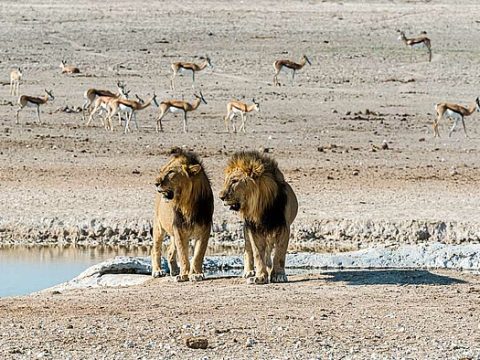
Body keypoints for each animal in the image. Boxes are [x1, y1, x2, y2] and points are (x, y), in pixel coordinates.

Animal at [151, 146, 213, 282]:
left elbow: (198, 255)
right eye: (162, 170)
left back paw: (174, 270)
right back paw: (157, 271)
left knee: (170, 251)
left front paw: (195, 274)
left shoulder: (205, 230)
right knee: (155, 250)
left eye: (171, 172)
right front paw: (184, 274)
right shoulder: (179, 229)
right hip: (159, 227)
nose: (156, 183)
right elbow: (183, 254)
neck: (187, 203)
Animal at [219, 150, 298, 284]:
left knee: (269, 248)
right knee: (248, 250)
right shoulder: (253, 228)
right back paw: (249, 272)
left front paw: (278, 275)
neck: (259, 205)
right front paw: (260, 277)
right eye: (225, 181)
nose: (221, 197)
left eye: (234, 181)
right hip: (246, 229)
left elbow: (280, 253)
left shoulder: (283, 227)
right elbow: (257, 253)